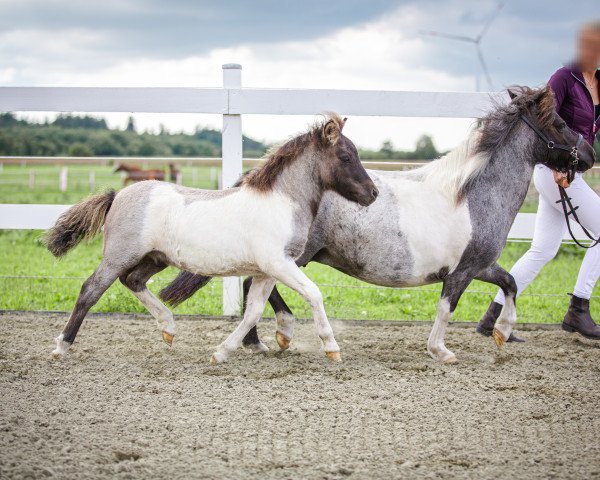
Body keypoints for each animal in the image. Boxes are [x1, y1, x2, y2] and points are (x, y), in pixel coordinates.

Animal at [162, 86, 596, 364]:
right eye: (560, 122)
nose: (589, 155)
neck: (471, 194)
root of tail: (256, 181)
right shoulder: (462, 271)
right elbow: (447, 308)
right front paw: (441, 351)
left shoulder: (482, 264)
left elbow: (511, 284)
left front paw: (502, 333)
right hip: (289, 258)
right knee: (257, 288)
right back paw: (273, 337)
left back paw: (263, 341)